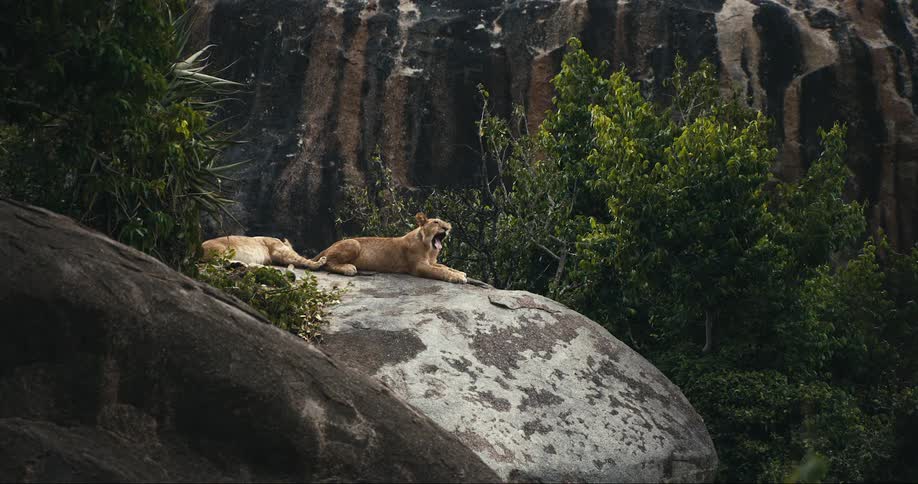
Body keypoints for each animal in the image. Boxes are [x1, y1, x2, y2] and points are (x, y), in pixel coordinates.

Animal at [312, 212, 467, 283]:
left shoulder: (431, 262)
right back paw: (348, 268)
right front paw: (458, 277)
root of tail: (328, 247)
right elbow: (440, 271)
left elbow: (444, 267)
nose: (448, 227)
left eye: (444, 222)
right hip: (354, 243)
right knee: (327, 263)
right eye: (436, 222)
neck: (429, 249)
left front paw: (460, 273)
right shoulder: (419, 267)